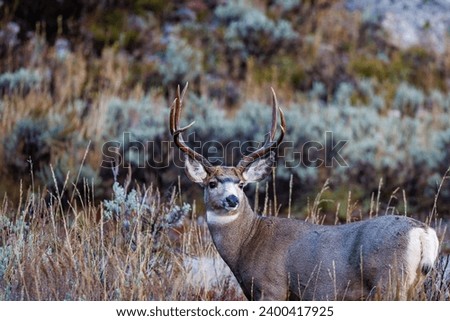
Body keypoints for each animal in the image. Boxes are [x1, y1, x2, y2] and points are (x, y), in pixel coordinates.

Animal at [169, 84, 440, 298]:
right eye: (212, 183)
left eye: (241, 184)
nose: (232, 199)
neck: (248, 242)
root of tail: (423, 233)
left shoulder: (272, 287)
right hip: (412, 284)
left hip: (389, 280)